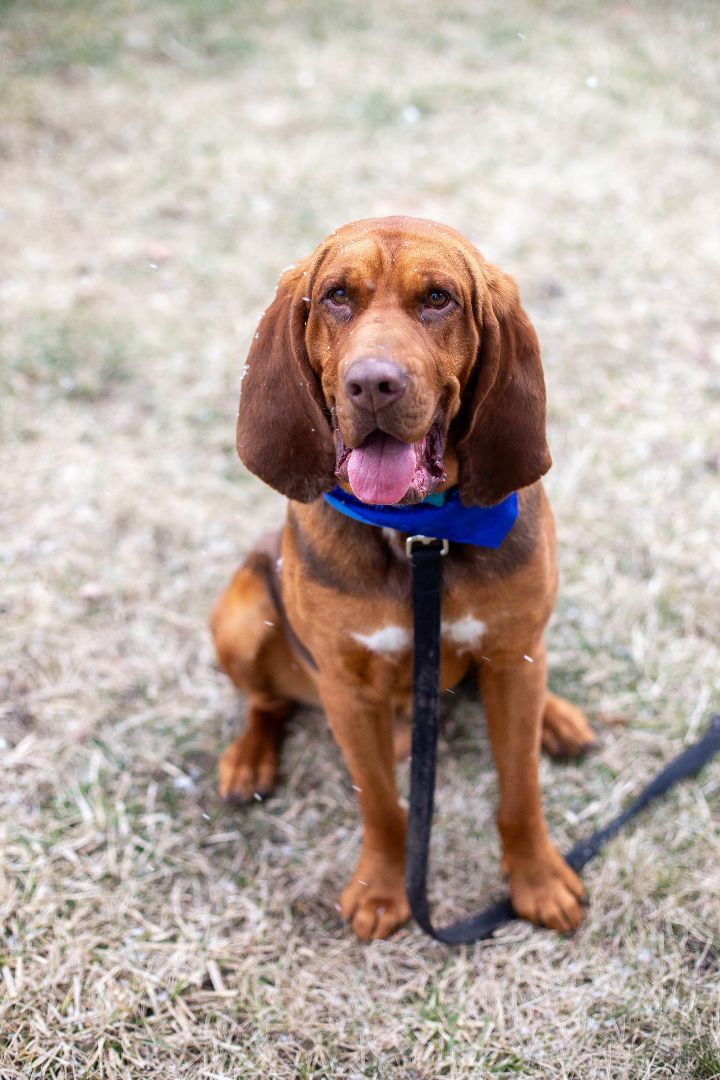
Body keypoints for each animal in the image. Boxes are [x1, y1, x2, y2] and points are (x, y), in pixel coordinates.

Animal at [209, 217, 595, 937]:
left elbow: (520, 790)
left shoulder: (512, 658)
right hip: (239, 612)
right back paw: (249, 757)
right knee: (267, 702)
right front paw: (384, 891)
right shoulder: (346, 690)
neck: (422, 534)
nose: (373, 384)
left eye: (438, 299)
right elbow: (384, 809)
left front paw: (537, 879)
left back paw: (556, 719)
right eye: (337, 296)